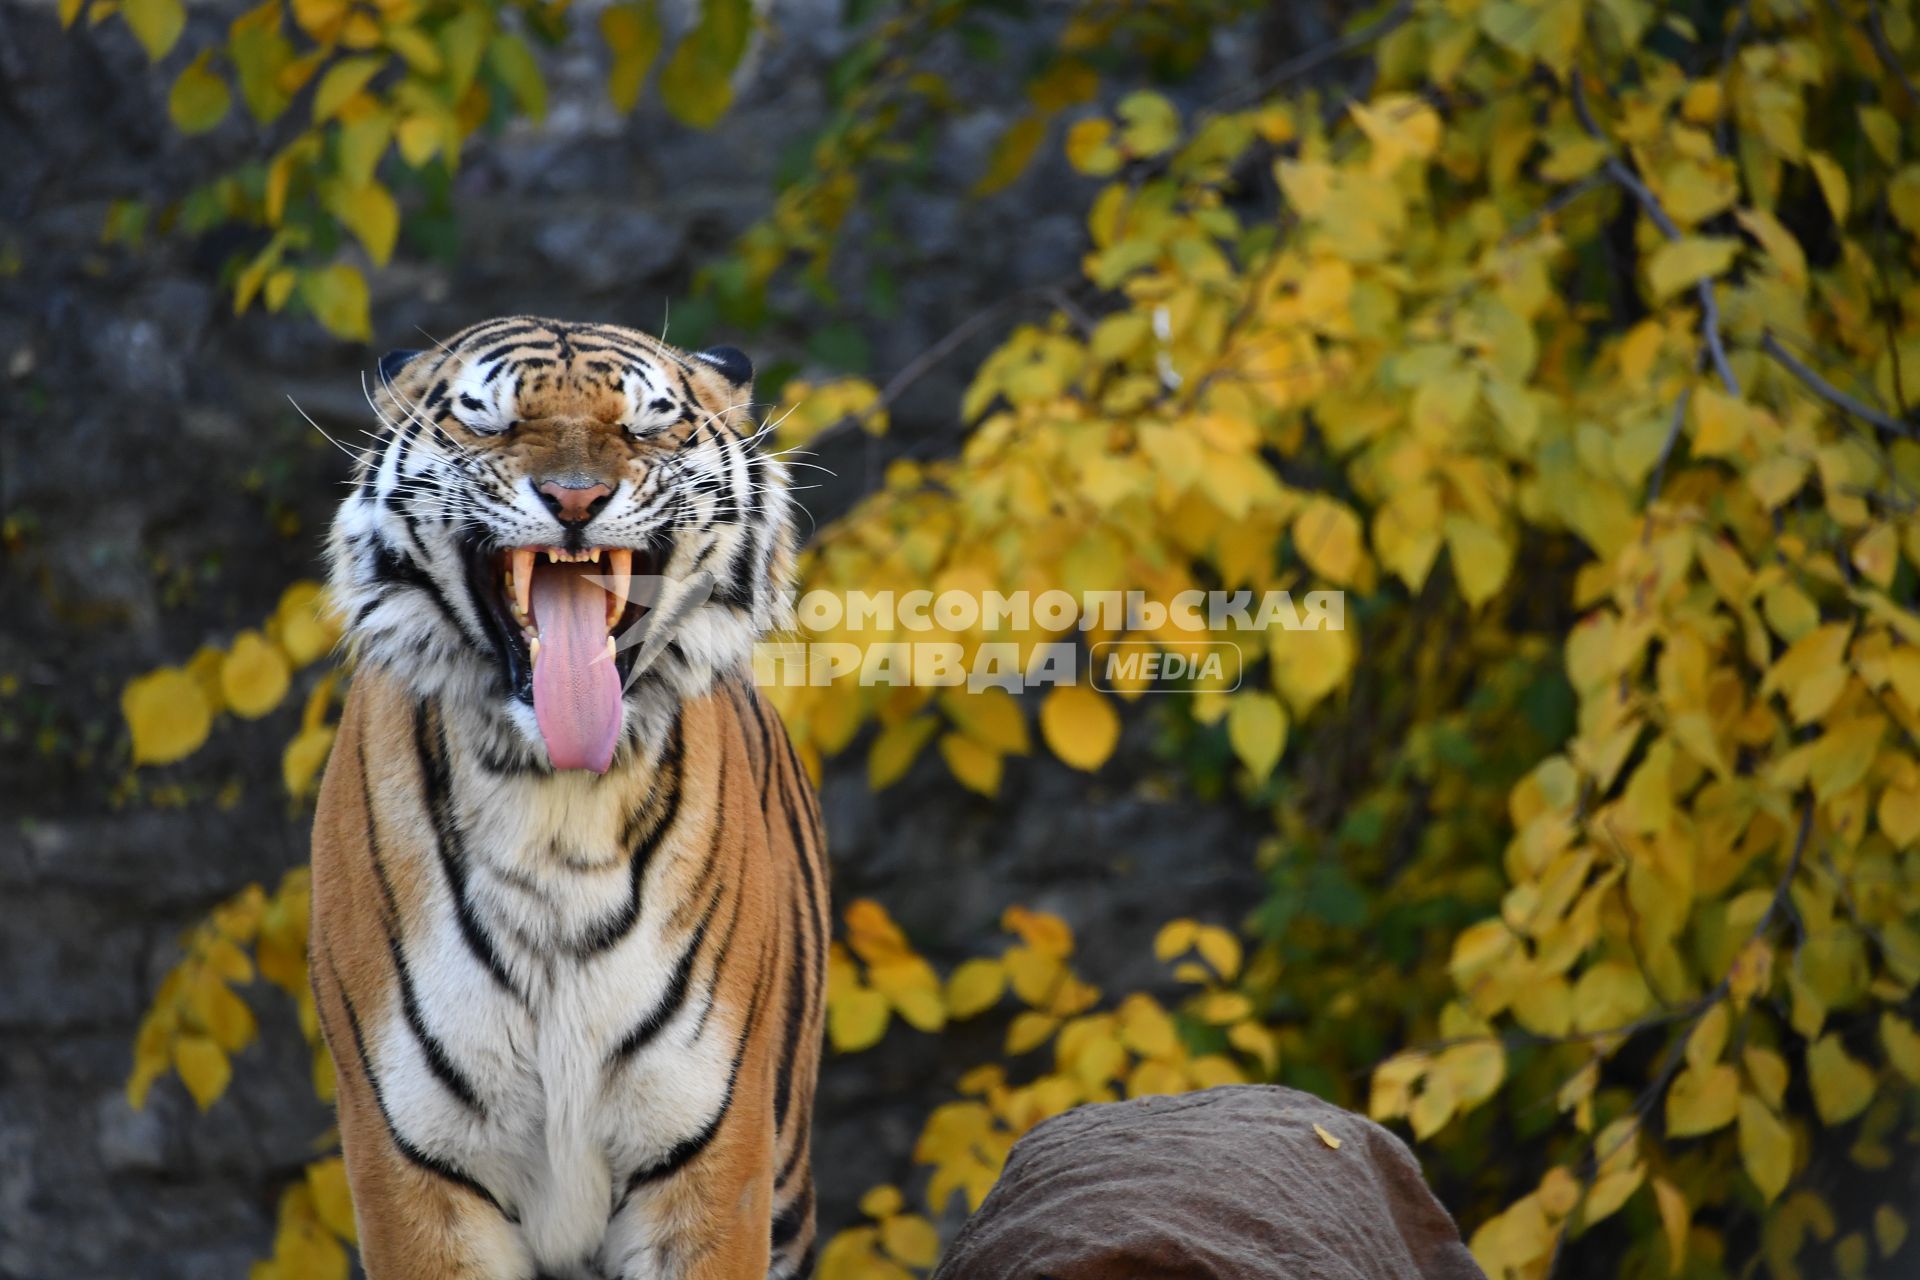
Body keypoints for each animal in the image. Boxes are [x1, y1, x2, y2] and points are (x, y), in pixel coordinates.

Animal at [307, 312, 825, 1280]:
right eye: (490, 421)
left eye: (648, 426)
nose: (576, 500)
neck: (556, 800)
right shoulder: (415, 1170)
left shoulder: (711, 1162)